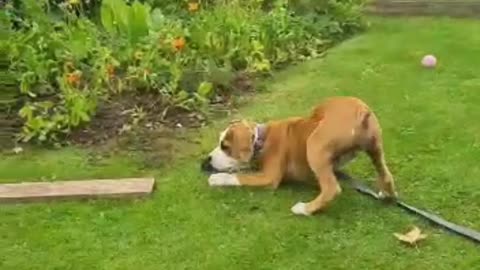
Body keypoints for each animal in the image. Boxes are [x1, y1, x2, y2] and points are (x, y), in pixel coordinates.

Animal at [201, 96, 396, 216]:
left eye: (225, 146)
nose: (207, 160)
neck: (261, 139)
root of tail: (361, 111)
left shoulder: (268, 178)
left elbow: (240, 177)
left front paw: (218, 178)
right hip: (375, 149)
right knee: (387, 176)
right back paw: (386, 195)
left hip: (314, 145)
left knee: (331, 189)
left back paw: (305, 209)